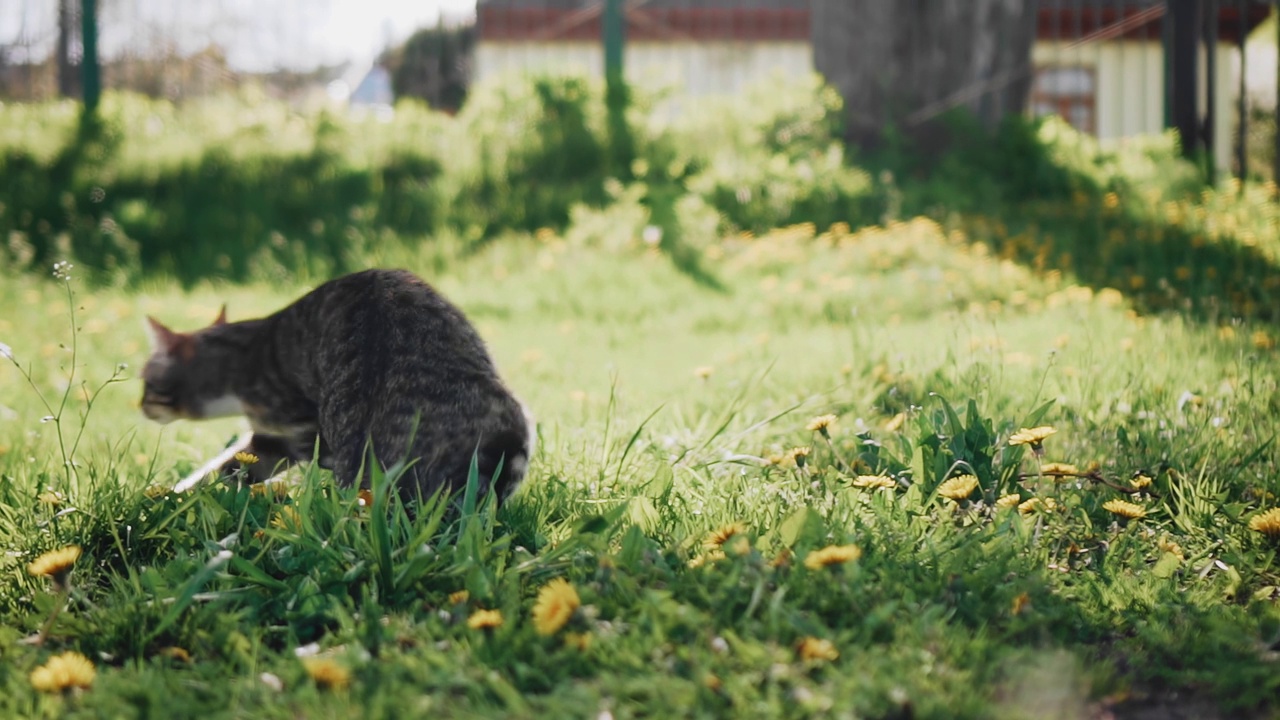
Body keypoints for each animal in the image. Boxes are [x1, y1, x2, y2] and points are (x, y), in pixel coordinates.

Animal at [140, 266, 535, 502]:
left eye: (145, 382)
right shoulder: (272, 440)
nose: (140, 406)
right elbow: (223, 469)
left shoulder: (299, 434)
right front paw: (170, 497)